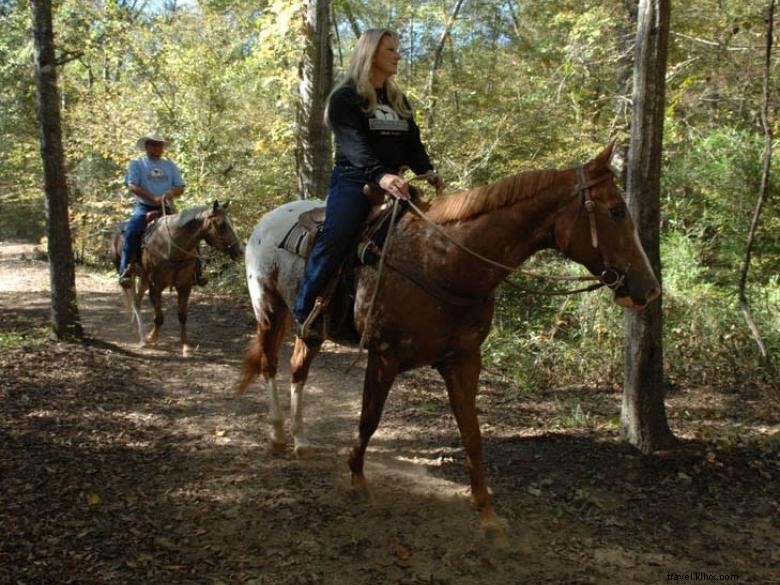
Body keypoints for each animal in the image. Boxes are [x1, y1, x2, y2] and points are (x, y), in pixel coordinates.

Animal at [114, 201, 242, 356]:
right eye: (222, 225)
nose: (241, 252)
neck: (171, 248)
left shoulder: (185, 286)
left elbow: (182, 316)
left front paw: (185, 346)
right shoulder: (156, 286)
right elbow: (159, 318)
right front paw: (152, 337)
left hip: (144, 279)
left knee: (137, 300)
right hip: (129, 274)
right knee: (134, 300)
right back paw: (143, 338)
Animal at [236, 145, 660, 528]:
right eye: (616, 211)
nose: (650, 289)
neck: (443, 262)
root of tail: (267, 220)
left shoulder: (463, 361)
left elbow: (472, 434)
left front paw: (485, 509)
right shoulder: (384, 357)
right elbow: (369, 419)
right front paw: (356, 476)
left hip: (312, 329)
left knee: (298, 370)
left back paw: (300, 440)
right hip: (269, 310)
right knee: (271, 365)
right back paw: (277, 434)